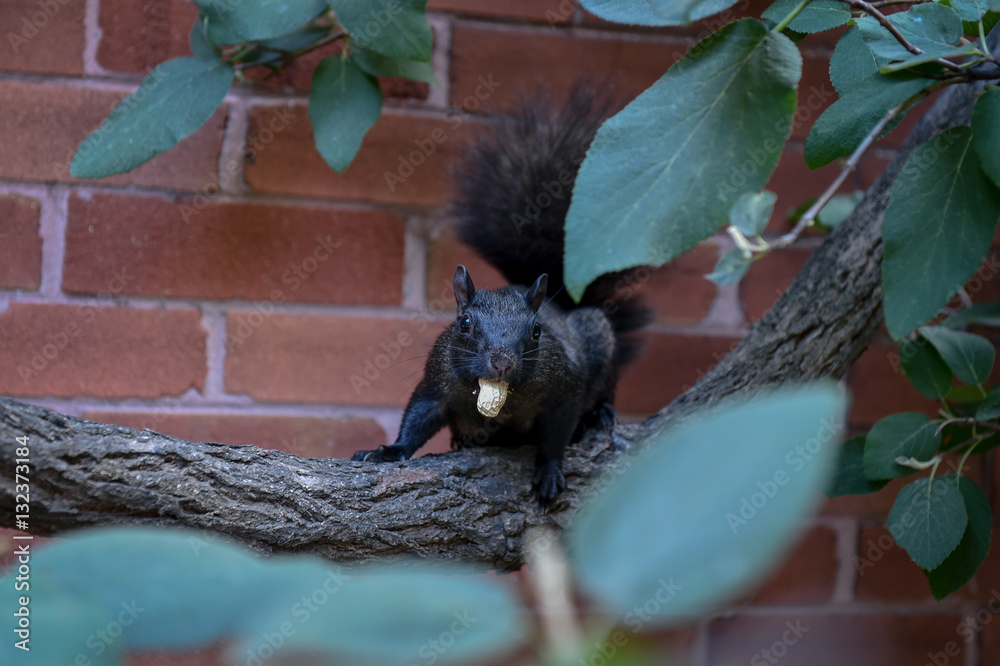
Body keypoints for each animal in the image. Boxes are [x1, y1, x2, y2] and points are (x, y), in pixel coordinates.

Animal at [351, 87, 650, 507]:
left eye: (537, 331)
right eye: (464, 323)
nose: (502, 363)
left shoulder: (565, 390)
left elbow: (556, 435)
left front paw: (550, 471)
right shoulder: (437, 381)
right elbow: (418, 418)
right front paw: (388, 451)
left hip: (599, 338)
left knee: (605, 389)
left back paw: (601, 415)